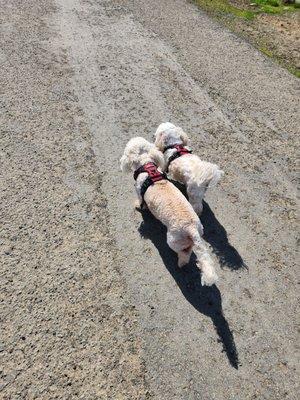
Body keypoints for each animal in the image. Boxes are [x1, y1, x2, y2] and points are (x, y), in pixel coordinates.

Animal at [119, 138, 218, 288]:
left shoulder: (139, 193)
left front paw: (138, 206)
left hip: (173, 239)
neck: (147, 168)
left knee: (184, 253)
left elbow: (141, 202)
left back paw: (180, 262)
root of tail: (191, 228)